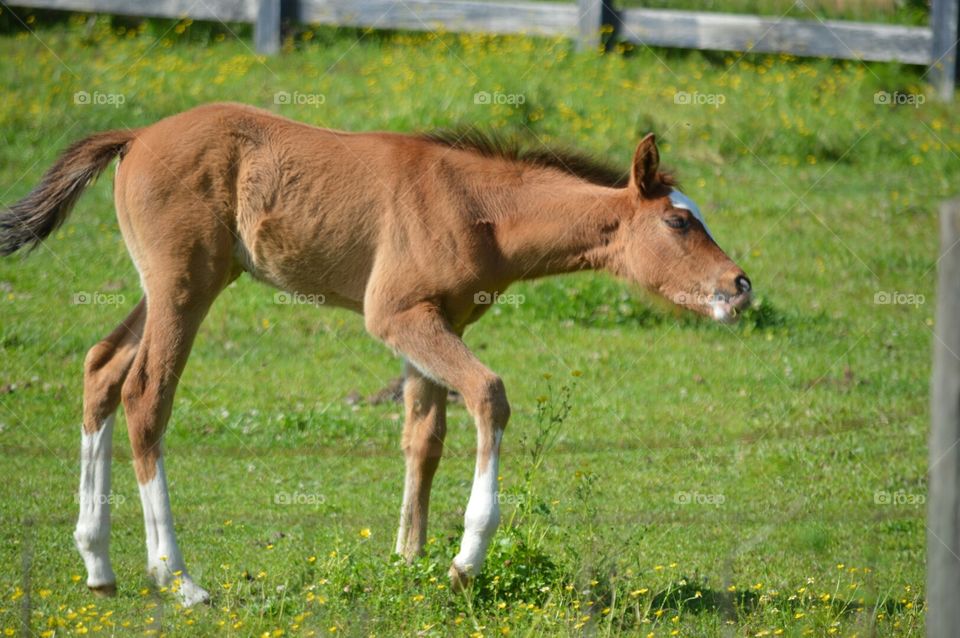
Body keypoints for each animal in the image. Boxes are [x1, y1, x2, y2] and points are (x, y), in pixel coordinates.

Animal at [0, 102, 752, 606]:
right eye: (678, 221)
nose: (739, 286)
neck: (476, 206)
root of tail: (135, 137)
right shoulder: (394, 315)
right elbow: (490, 395)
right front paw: (464, 561)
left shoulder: (437, 322)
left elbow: (424, 437)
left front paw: (408, 563)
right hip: (185, 284)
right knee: (145, 396)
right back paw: (179, 579)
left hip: (172, 285)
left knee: (100, 368)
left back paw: (98, 565)